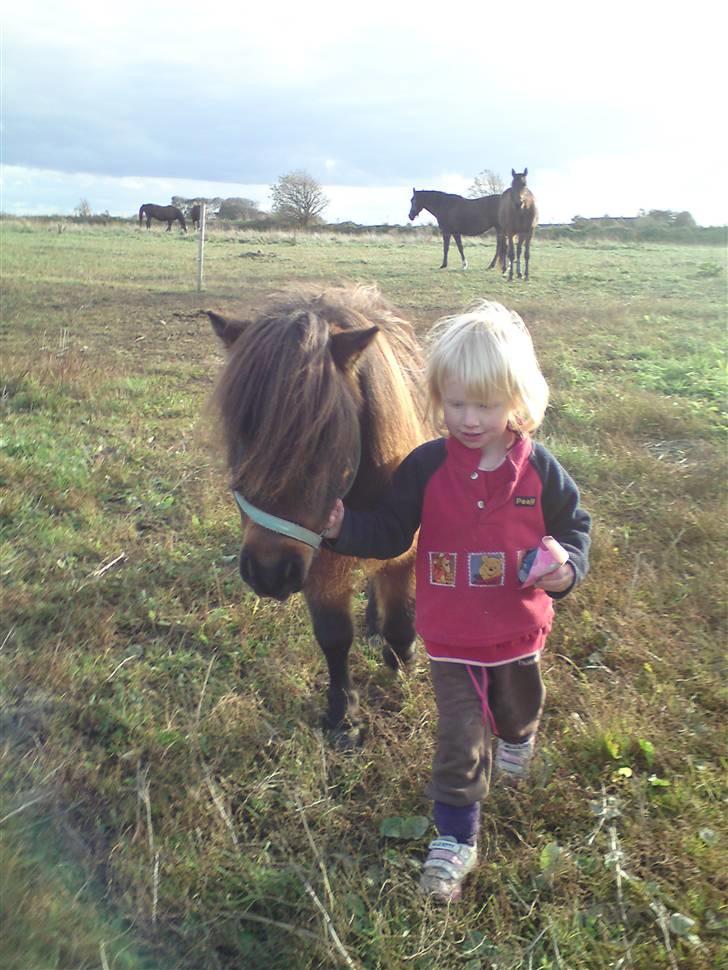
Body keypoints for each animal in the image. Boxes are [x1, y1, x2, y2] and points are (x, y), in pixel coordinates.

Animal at [208, 285, 431, 745]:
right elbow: (334, 637)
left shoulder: (402, 543)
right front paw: (343, 713)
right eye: (239, 429)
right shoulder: (317, 560)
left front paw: (403, 657)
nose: (268, 572)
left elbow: (402, 614)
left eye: (324, 433)